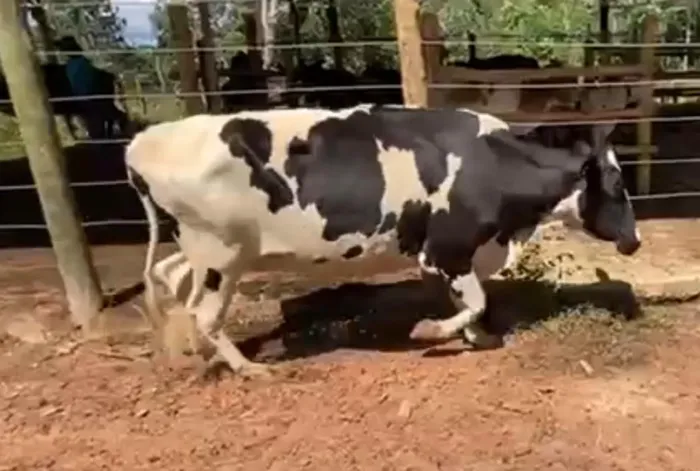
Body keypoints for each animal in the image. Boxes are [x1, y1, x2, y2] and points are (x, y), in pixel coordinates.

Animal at [125, 104, 641, 378]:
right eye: (617, 183)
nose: (634, 241)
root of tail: (144, 142)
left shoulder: (458, 253)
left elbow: (472, 301)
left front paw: (478, 336)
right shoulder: (446, 248)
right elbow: (473, 300)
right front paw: (431, 332)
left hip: (200, 248)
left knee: (168, 275)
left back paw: (189, 350)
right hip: (222, 253)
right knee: (204, 311)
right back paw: (250, 368)